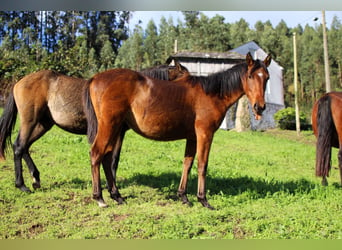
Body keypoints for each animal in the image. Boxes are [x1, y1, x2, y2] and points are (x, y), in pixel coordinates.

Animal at [0, 61, 187, 192]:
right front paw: (111, 186)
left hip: (43, 124)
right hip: (30, 121)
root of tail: (18, 83)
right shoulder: (117, 132)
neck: (134, 92)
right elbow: (113, 159)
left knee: (24, 147)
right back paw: (22, 185)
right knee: (19, 146)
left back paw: (35, 179)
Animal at [84, 53, 272, 209]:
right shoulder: (205, 133)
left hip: (115, 129)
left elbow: (187, 164)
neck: (211, 94)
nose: (260, 107)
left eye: (267, 78)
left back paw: (117, 196)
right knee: (97, 153)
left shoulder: (192, 137)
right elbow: (202, 164)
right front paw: (203, 200)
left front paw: (184, 197)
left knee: (107, 157)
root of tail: (95, 78)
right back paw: (99, 198)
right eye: (250, 76)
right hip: (109, 126)